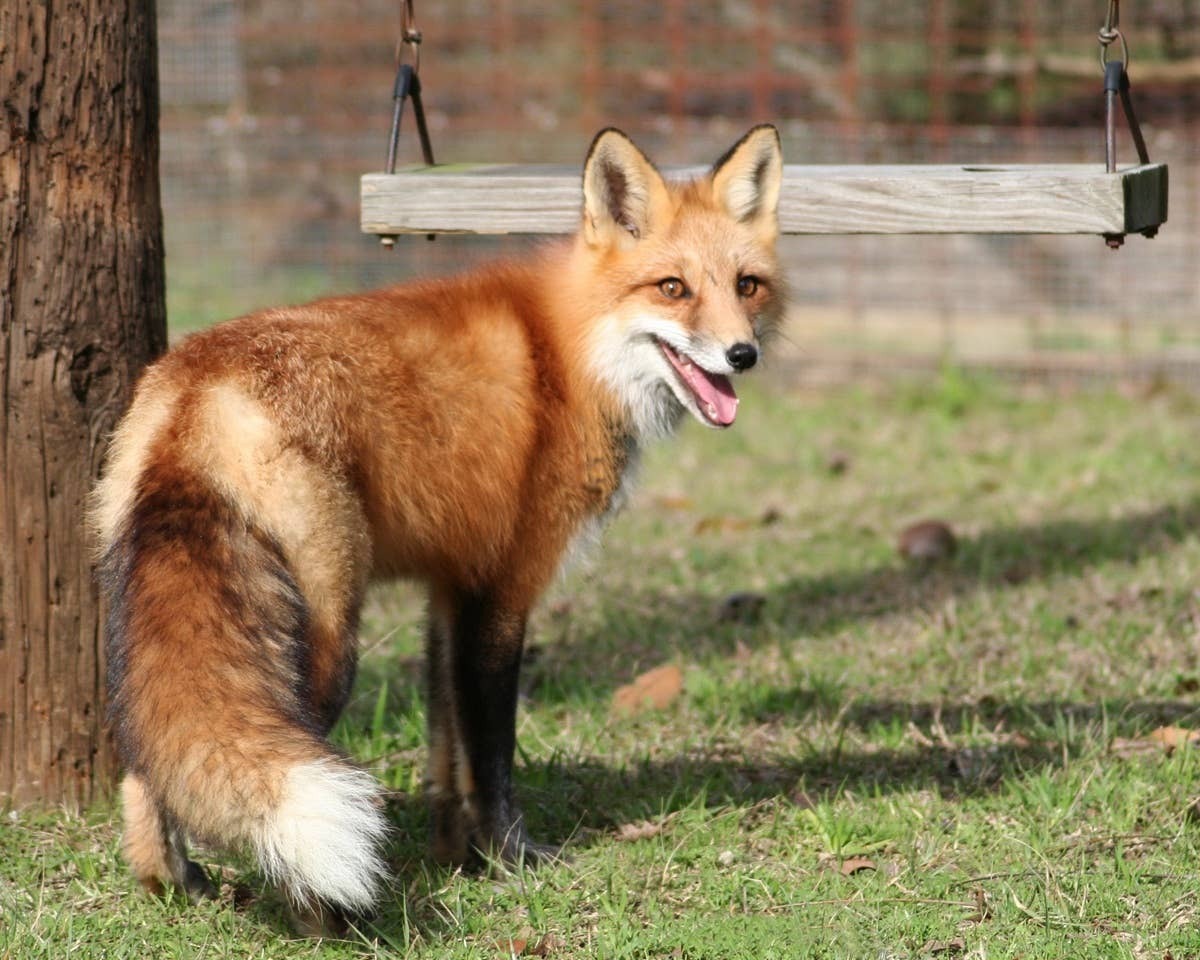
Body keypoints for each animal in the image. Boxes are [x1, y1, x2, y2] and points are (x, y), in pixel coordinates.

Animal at [92, 124, 786, 927]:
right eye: (673, 288)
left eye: (747, 285)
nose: (743, 354)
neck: (569, 354)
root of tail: (197, 392)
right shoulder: (503, 589)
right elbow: (491, 754)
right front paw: (513, 859)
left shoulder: (450, 584)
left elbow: (445, 748)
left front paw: (457, 855)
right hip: (328, 638)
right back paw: (320, 915)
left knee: (144, 760)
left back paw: (172, 883)